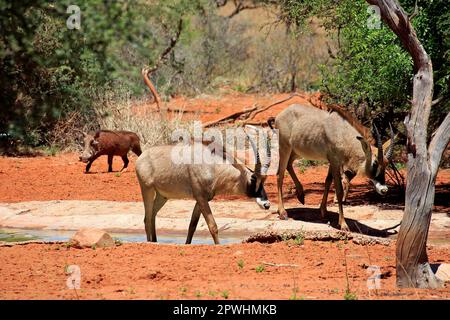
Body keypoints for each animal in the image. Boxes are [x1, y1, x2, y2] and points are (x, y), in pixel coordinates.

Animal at [134, 131, 270, 244]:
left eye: (264, 181)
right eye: (253, 179)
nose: (266, 204)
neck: (212, 166)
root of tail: (142, 157)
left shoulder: (202, 199)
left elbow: (192, 226)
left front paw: (187, 244)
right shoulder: (201, 198)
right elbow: (213, 226)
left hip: (162, 197)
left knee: (152, 216)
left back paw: (154, 241)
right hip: (147, 189)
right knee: (147, 218)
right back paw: (149, 243)